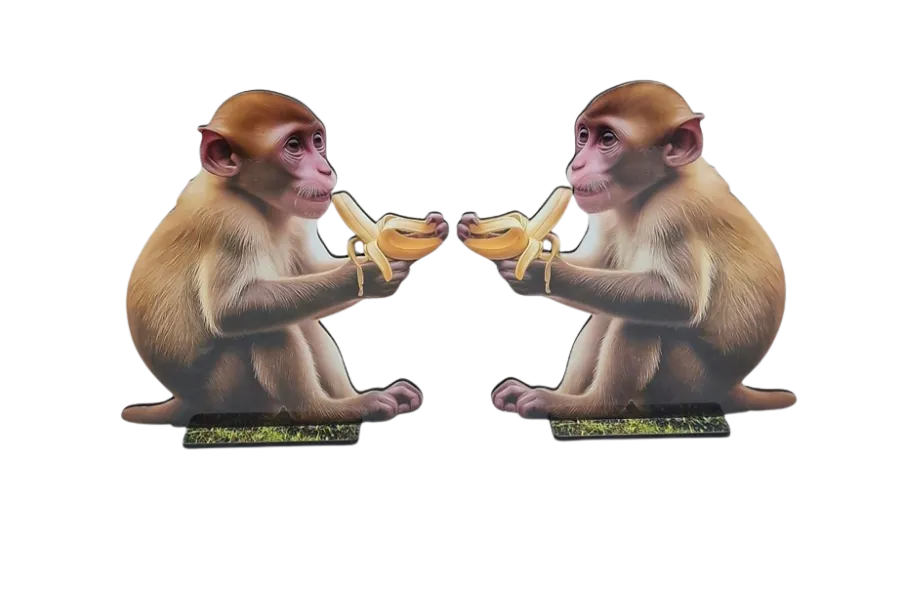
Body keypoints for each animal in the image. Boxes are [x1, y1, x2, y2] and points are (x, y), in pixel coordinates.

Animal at [122, 90, 449, 427]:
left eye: (317, 141)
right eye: (293, 146)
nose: (325, 170)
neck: (247, 194)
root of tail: (185, 400)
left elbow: (308, 271)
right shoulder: (230, 221)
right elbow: (232, 309)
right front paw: (368, 274)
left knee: (297, 315)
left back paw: (357, 398)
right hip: (224, 391)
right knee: (268, 326)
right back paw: (328, 409)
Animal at [458, 80, 796, 420]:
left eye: (607, 139)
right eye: (584, 135)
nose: (575, 165)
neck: (656, 186)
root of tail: (729, 389)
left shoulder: (675, 210)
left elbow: (678, 299)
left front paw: (536, 271)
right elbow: (597, 264)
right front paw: (476, 229)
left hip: (688, 381)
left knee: (640, 318)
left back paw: (586, 405)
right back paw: (554, 396)